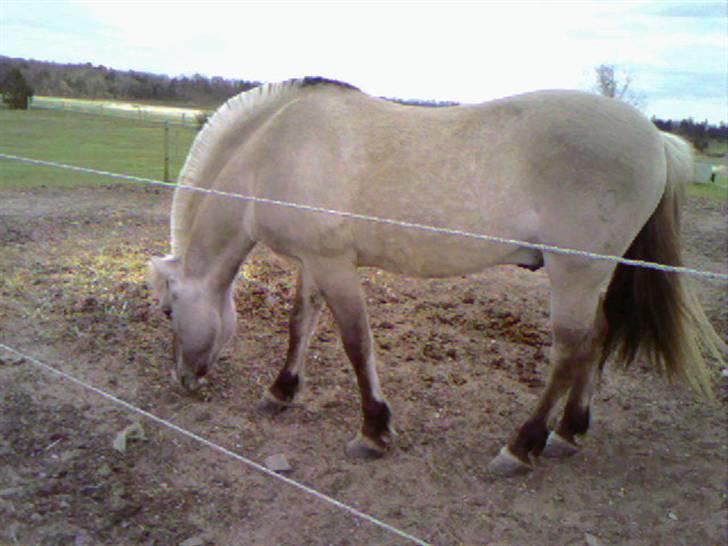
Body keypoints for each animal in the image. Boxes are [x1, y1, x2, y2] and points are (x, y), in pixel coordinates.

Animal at [148, 76, 724, 472]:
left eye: (169, 310)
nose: (182, 380)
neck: (274, 148)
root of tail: (656, 138)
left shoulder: (336, 267)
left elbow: (356, 344)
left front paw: (374, 429)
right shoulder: (314, 263)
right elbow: (300, 326)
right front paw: (281, 392)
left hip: (574, 274)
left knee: (570, 350)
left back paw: (522, 446)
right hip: (591, 277)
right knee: (596, 340)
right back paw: (568, 432)